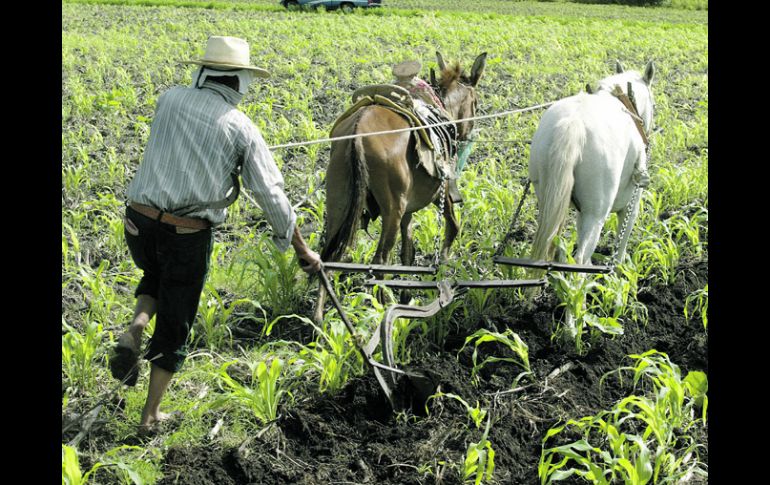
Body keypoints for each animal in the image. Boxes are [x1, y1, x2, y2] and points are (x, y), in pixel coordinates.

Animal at [528, 60, 656, 268]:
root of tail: (572, 125)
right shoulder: (631, 204)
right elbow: (621, 246)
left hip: (549, 201)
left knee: (554, 245)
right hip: (596, 213)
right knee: (580, 258)